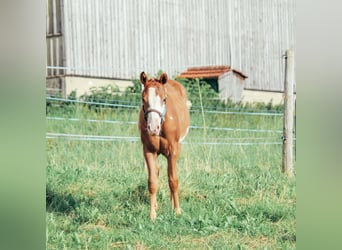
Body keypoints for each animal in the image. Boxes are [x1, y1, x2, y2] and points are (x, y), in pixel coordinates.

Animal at [139, 71, 192, 220]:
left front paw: (177, 210)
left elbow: (173, 180)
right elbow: (152, 182)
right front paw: (152, 214)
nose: (153, 128)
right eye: (143, 99)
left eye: (164, 99)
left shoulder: (173, 151)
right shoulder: (149, 151)